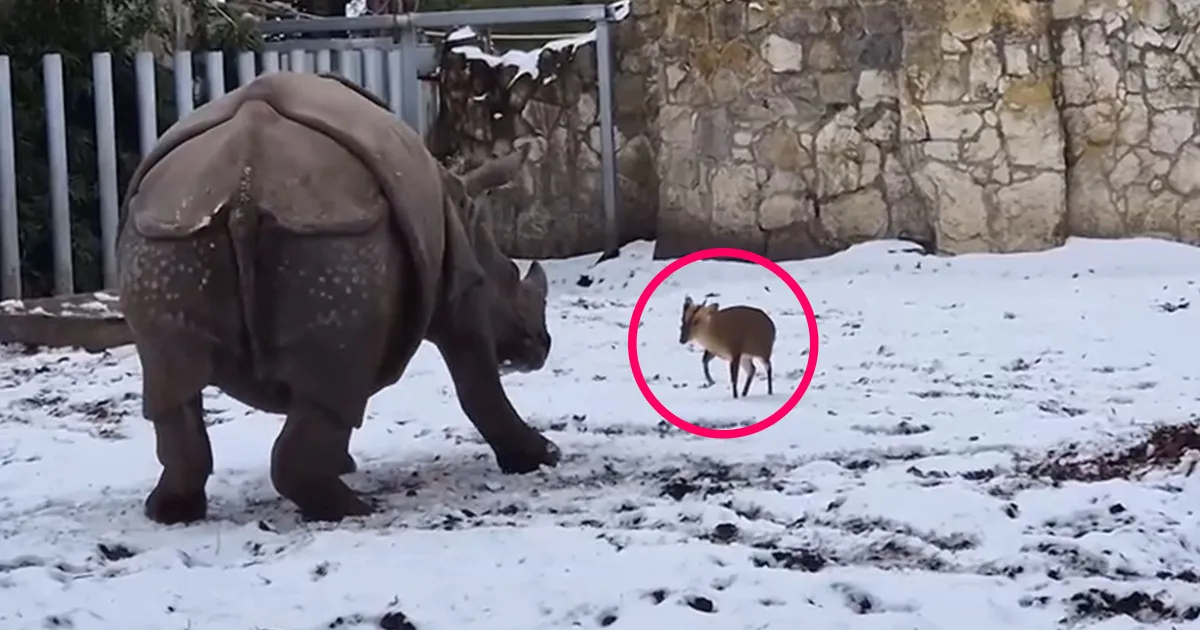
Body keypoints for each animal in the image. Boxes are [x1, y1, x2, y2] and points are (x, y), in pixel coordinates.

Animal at [117, 71, 560, 525]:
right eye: (512, 277)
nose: (541, 346)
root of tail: (243, 184)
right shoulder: (461, 287)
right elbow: (477, 378)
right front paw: (543, 457)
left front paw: (342, 463)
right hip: (335, 238)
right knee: (336, 384)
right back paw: (356, 510)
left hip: (168, 238)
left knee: (172, 386)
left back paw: (172, 511)